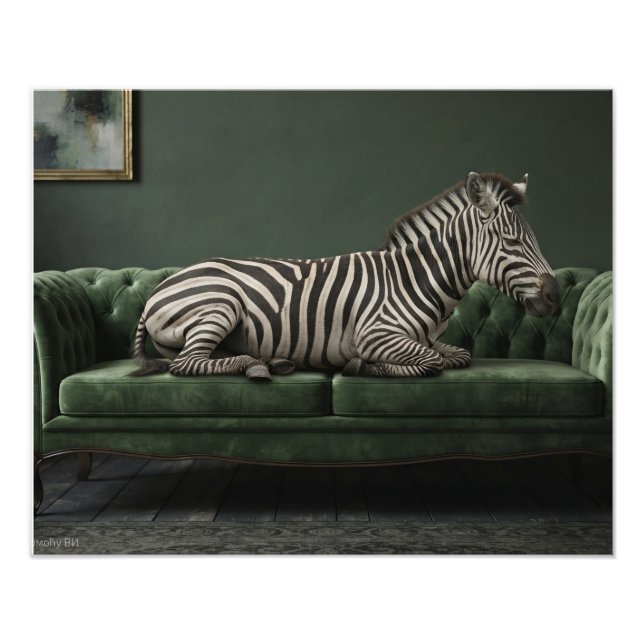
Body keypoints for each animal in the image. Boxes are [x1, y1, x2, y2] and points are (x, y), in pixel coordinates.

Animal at [130, 172, 560, 380]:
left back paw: (268, 362)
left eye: (534, 240)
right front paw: (361, 367)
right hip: (219, 304)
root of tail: (155, 293)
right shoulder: (375, 334)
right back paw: (255, 366)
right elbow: (430, 361)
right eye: (511, 241)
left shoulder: (437, 341)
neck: (415, 280)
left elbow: (459, 355)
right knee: (187, 364)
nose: (555, 296)